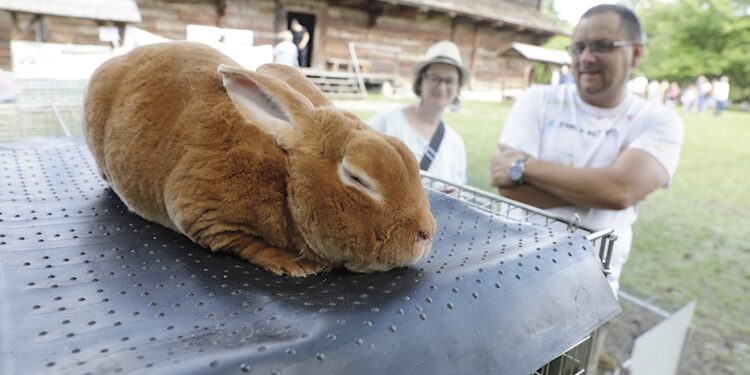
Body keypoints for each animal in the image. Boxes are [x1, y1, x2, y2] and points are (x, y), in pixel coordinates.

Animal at [85, 42, 438, 278]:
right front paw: (295, 265)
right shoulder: (201, 214)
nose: (426, 233)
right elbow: (243, 243)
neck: (286, 180)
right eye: (356, 177)